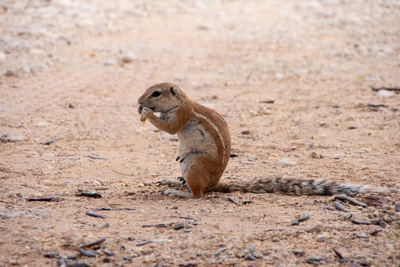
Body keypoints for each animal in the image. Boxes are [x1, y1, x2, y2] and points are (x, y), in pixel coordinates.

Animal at [138, 84, 396, 199]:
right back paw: (172, 182)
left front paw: (148, 113)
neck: (180, 101)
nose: (138, 101)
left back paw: (177, 193)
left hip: (194, 166)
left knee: (198, 195)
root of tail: (215, 185)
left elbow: (169, 128)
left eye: (156, 93)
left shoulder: (181, 115)